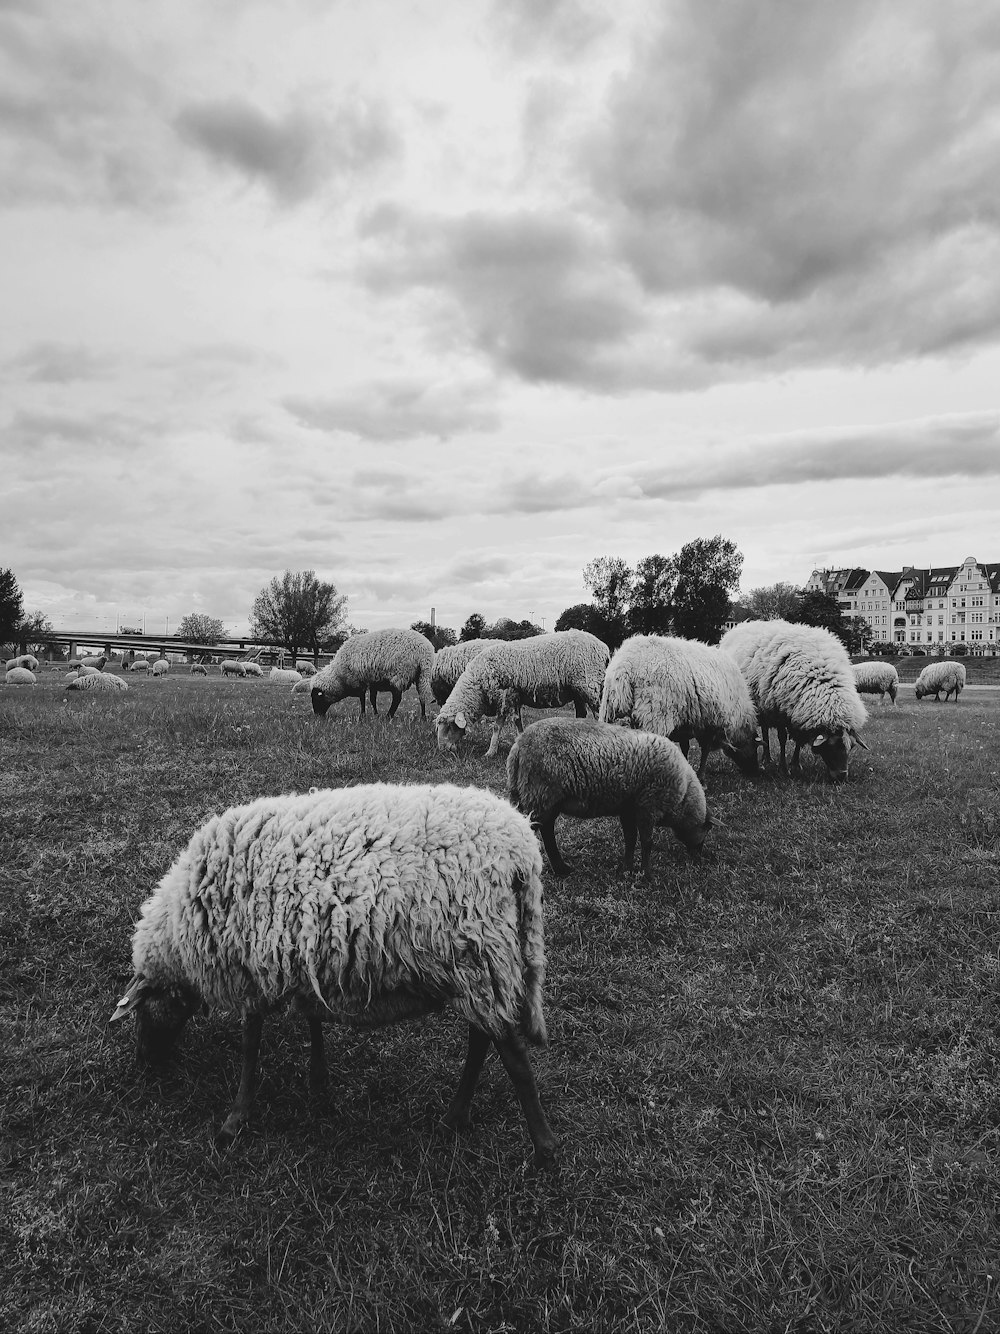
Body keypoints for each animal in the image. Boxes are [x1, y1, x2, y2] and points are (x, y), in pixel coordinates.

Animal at [115, 779, 565, 1168]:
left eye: (142, 1011)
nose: (143, 1063)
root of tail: (523, 848)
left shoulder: (255, 968)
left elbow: (250, 1047)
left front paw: (234, 1120)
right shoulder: (303, 955)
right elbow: (312, 1020)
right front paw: (319, 1086)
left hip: (481, 952)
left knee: (512, 1054)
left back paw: (543, 1150)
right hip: (477, 964)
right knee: (483, 1037)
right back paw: (456, 1117)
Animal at [437, 629, 610, 757]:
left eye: (449, 726)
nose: (442, 750)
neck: (478, 686)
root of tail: (604, 647)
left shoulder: (504, 697)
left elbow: (497, 727)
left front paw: (490, 752)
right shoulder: (515, 698)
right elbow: (518, 722)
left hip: (590, 687)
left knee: (599, 714)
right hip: (578, 692)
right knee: (581, 714)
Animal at [509, 715, 714, 880]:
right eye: (704, 835)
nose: (699, 861)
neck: (683, 797)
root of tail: (519, 743)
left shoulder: (628, 808)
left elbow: (630, 839)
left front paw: (626, 870)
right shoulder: (648, 807)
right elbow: (647, 842)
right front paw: (646, 875)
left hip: (535, 797)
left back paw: (558, 869)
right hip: (541, 794)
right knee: (538, 831)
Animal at [594, 634, 757, 779]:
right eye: (755, 747)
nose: (755, 771)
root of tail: (625, 667)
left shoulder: (685, 724)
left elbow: (685, 748)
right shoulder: (711, 724)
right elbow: (705, 751)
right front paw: (701, 778)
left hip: (611, 711)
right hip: (653, 716)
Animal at [720, 616, 869, 779]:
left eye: (852, 747)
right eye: (830, 746)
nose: (841, 777)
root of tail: (743, 624)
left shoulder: (799, 713)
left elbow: (798, 740)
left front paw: (796, 764)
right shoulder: (779, 710)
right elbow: (782, 738)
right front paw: (783, 768)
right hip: (762, 705)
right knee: (765, 732)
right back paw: (766, 759)